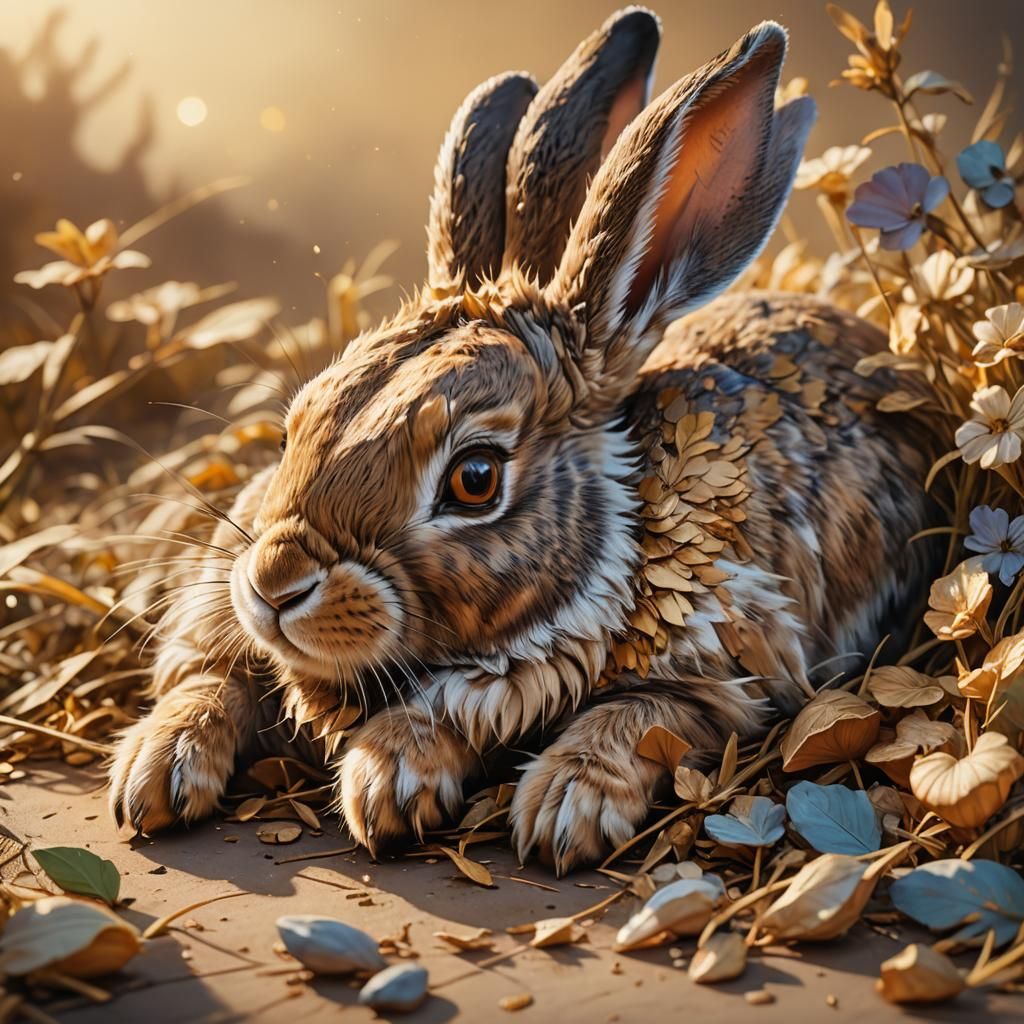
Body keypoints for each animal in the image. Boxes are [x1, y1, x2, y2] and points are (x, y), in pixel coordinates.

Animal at [108, 8, 936, 874]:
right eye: (297, 422)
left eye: (475, 478)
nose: (274, 586)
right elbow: (213, 681)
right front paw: (155, 770)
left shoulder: (731, 671)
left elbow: (638, 715)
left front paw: (540, 806)